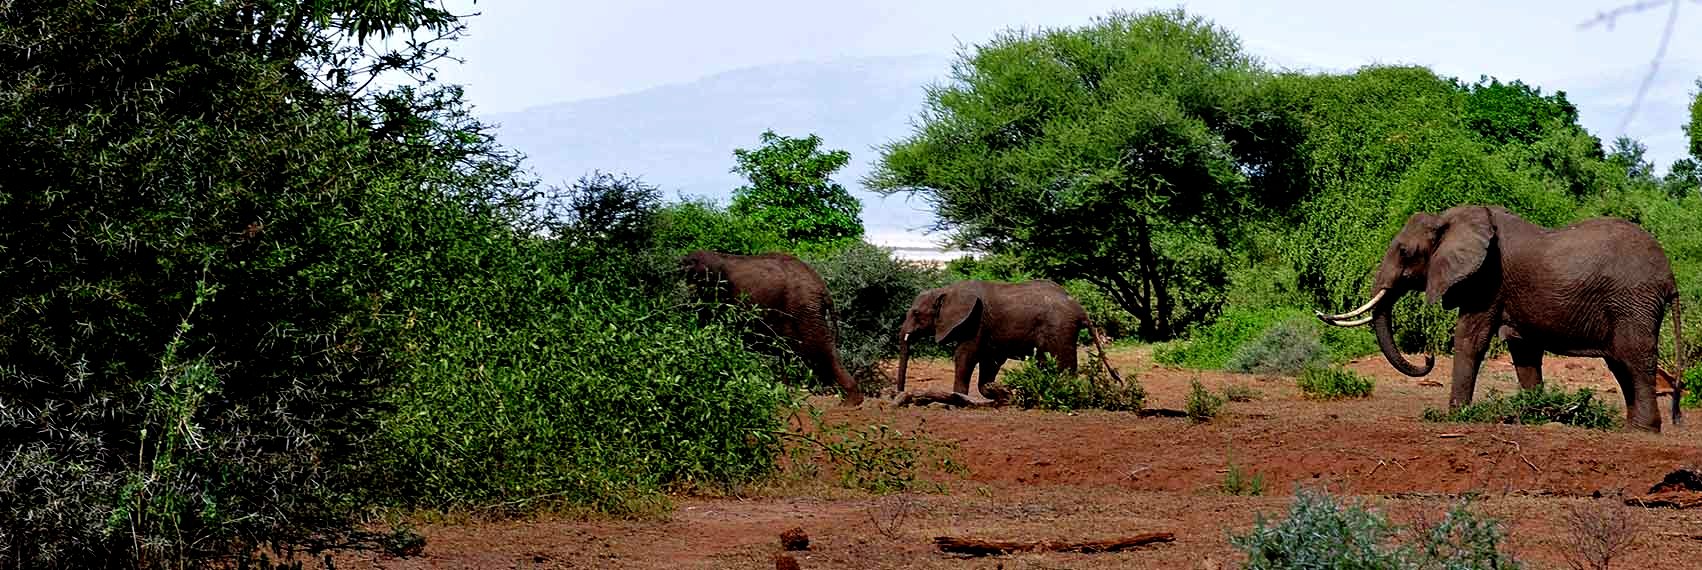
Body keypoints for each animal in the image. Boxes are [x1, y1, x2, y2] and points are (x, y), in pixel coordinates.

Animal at [677, 250, 864, 406]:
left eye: (689, 266)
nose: (680, 265)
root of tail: (824, 290)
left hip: (804, 308)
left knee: (821, 347)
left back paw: (849, 403)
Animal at [891, 280, 1116, 398]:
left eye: (916, 314)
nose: (900, 395)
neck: (947, 290)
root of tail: (1081, 310)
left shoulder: (976, 321)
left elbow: (964, 356)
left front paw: (959, 397)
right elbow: (990, 362)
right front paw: (1005, 392)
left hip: (1060, 329)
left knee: (1062, 366)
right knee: (1046, 363)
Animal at [1307, 205, 1681, 433]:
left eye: (1404, 252)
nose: (1427, 357)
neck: (1451, 219)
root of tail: (1670, 277)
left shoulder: (1486, 281)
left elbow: (1470, 339)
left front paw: (1455, 417)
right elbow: (1524, 354)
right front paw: (1535, 415)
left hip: (1633, 303)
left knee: (1635, 359)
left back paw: (1645, 431)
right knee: (1621, 364)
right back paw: (1632, 427)